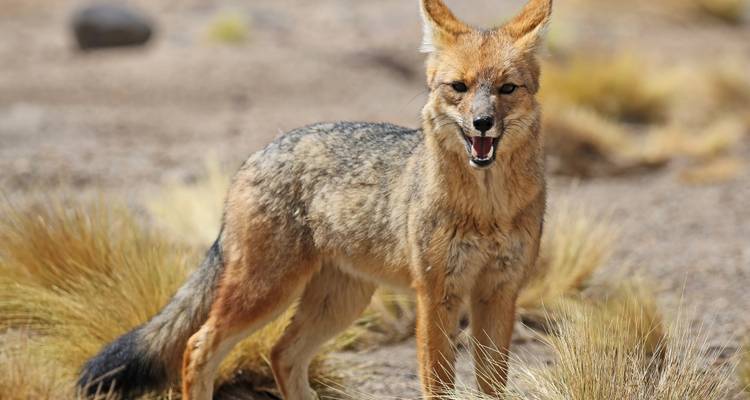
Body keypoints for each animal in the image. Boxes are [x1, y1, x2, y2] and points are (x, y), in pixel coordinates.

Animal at [79, 0, 551, 398]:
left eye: (507, 88)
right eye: (459, 87)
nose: (482, 122)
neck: (487, 210)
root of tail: (258, 154)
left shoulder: (499, 293)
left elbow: (493, 385)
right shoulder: (437, 293)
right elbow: (438, 384)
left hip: (338, 302)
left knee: (282, 354)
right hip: (266, 291)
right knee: (198, 346)